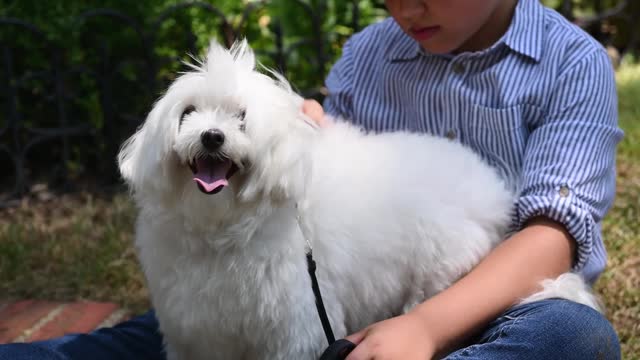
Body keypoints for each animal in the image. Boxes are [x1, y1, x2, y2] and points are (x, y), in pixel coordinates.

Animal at [119, 40, 600, 358]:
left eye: (242, 119)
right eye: (189, 113)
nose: (212, 136)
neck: (222, 227)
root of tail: (495, 195)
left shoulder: (297, 326)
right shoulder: (196, 330)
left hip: (442, 264)